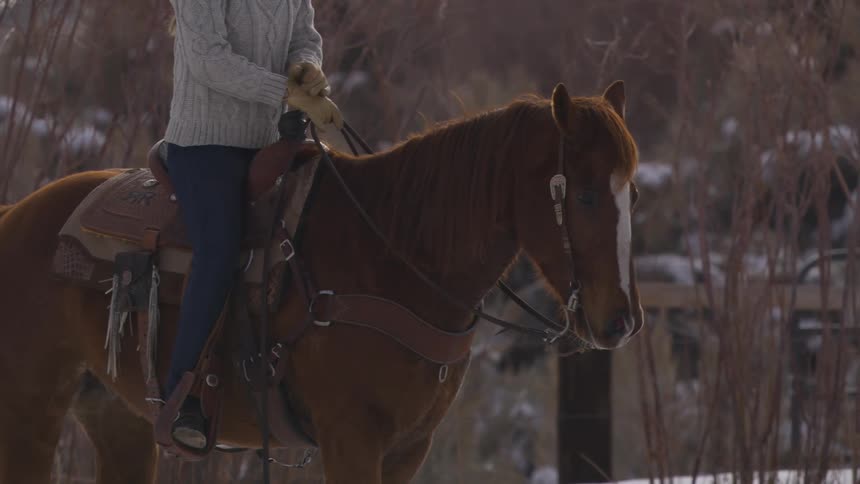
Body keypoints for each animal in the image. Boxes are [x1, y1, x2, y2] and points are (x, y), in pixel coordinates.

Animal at [0, 82, 643, 483]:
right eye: (585, 195)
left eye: (631, 193)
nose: (622, 321)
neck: (396, 253)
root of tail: (15, 217)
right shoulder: (351, 440)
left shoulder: (406, 451)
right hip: (29, 417)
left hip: (118, 419)